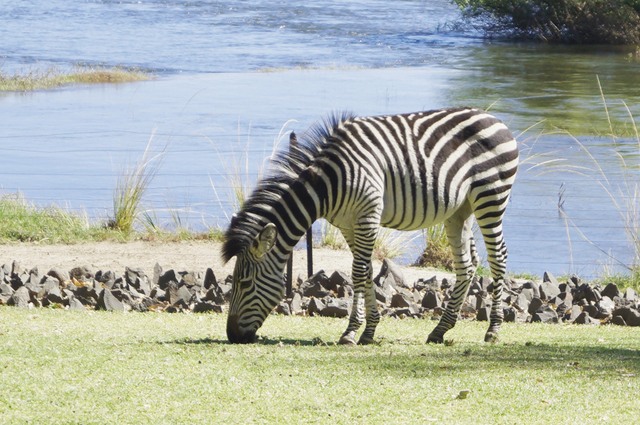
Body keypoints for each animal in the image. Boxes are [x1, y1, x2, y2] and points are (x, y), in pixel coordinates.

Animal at [222, 107, 516, 344]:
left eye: (245, 283)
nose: (232, 336)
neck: (327, 186)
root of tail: (495, 118)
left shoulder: (368, 214)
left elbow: (358, 271)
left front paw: (351, 332)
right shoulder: (348, 225)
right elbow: (366, 272)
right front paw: (368, 331)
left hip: (490, 196)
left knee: (498, 257)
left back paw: (493, 329)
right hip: (459, 209)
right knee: (466, 264)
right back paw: (440, 330)